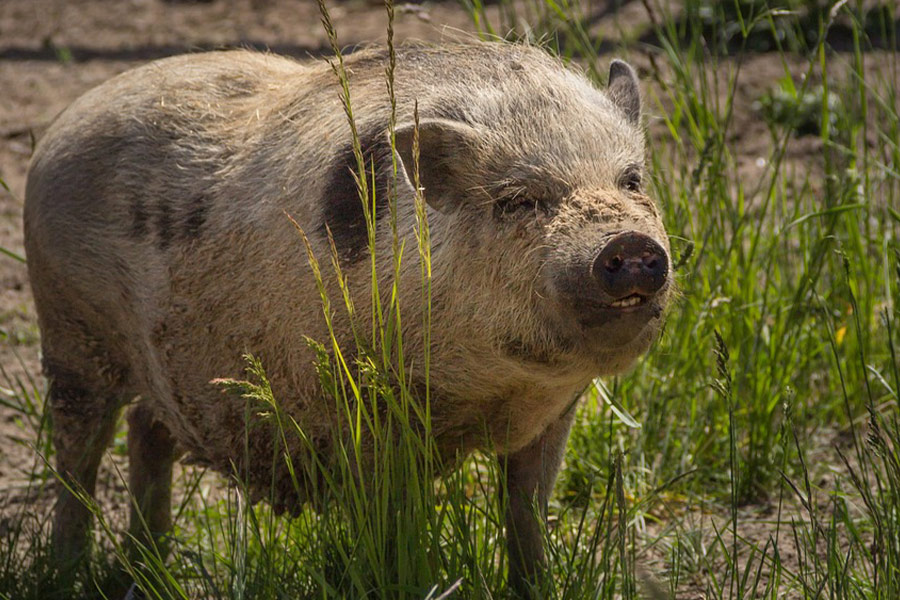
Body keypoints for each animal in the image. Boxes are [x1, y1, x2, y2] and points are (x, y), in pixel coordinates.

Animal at [23, 42, 671, 595]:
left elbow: (527, 511)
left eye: (631, 181)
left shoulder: (555, 412)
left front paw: (535, 586)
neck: (497, 388)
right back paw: (66, 574)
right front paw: (404, 578)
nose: (630, 241)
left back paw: (153, 563)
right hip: (68, 329)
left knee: (146, 428)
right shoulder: (368, 412)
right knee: (79, 455)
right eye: (520, 199)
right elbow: (393, 525)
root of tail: (60, 126)